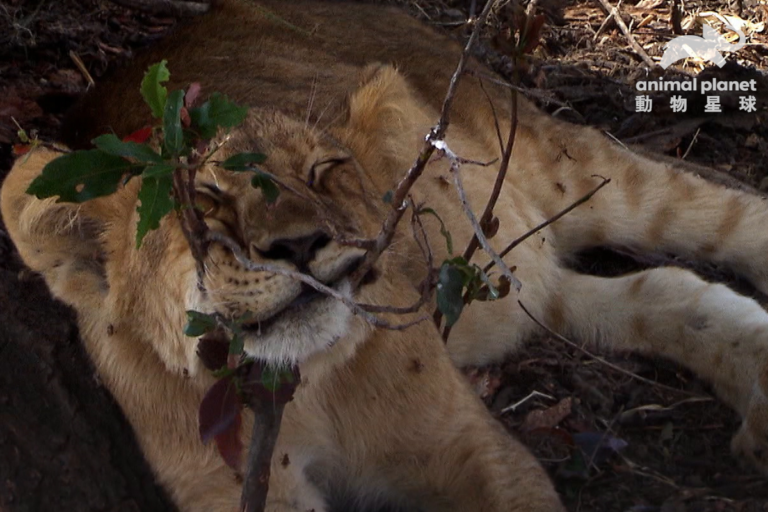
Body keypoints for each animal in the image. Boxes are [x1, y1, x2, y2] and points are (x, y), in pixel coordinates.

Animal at [1, 1, 768, 512]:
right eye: (207, 202)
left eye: (323, 173)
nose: (298, 245)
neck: (308, 387)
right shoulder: (230, 486)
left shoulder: (467, 444)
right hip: (522, 286)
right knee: (666, 290)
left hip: (566, 167)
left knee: (721, 212)